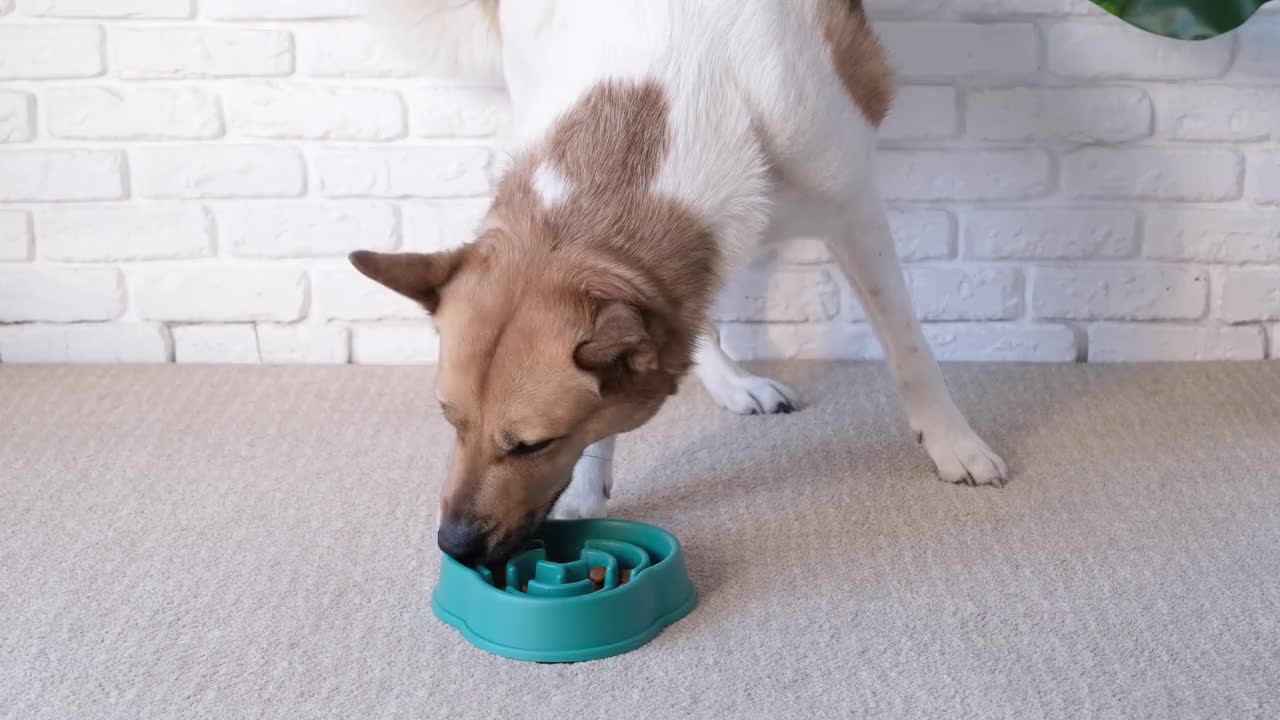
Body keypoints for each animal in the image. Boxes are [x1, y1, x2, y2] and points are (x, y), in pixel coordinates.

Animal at [353, 0, 1008, 563]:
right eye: (450, 421)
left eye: (533, 445)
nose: (454, 546)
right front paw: (588, 489)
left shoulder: (855, 207)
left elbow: (907, 346)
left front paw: (954, 443)